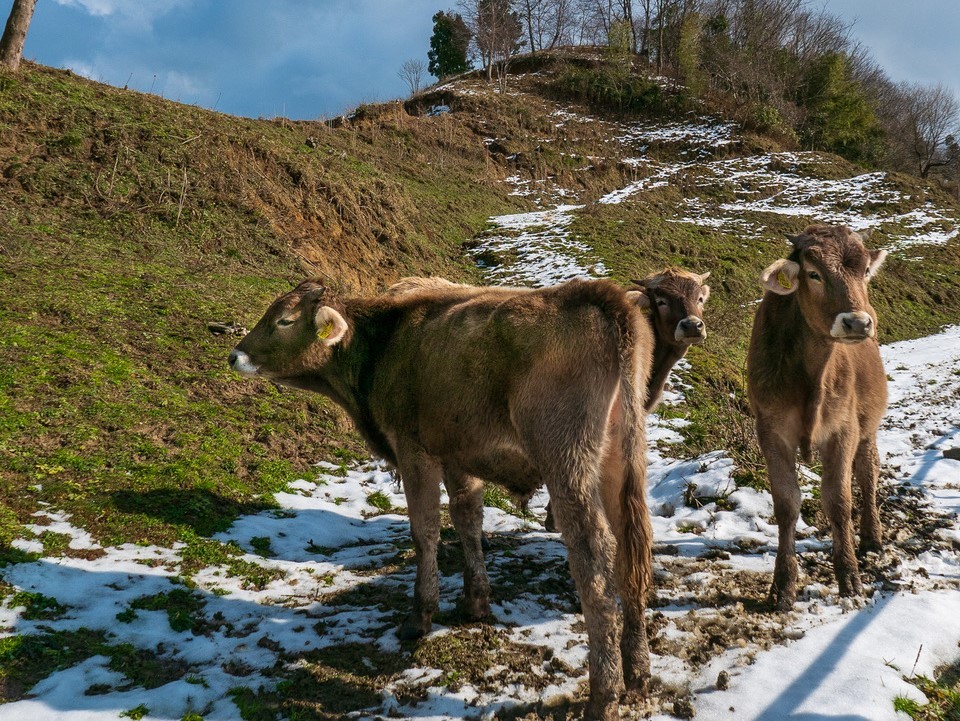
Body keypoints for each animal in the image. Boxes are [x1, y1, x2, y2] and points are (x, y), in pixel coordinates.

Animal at [229, 278, 656, 720]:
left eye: (284, 320)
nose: (234, 355)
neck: (385, 341)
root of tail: (601, 295)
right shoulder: (457, 454)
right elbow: (468, 520)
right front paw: (475, 601)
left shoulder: (413, 450)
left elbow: (425, 531)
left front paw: (420, 614)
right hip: (621, 457)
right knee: (634, 547)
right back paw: (638, 670)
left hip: (566, 457)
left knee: (595, 553)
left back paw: (604, 693)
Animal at [748, 224, 888, 608]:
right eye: (814, 274)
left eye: (864, 272)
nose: (857, 322)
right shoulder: (770, 429)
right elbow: (786, 503)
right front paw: (783, 585)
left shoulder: (843, 428)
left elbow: (838, 500)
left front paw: (849, 576)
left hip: (867, 423)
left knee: (867, 470)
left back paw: (872, 537)